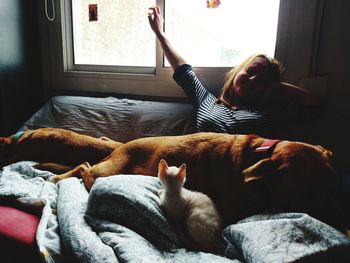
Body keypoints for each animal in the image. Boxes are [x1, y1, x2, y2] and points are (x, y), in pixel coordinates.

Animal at [48, 133, 348, 232]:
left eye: (338, 189)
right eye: (310, 193)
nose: (344, 224)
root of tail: (119, 147)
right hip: (108, 172)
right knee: (84, 169)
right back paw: (59, 178)